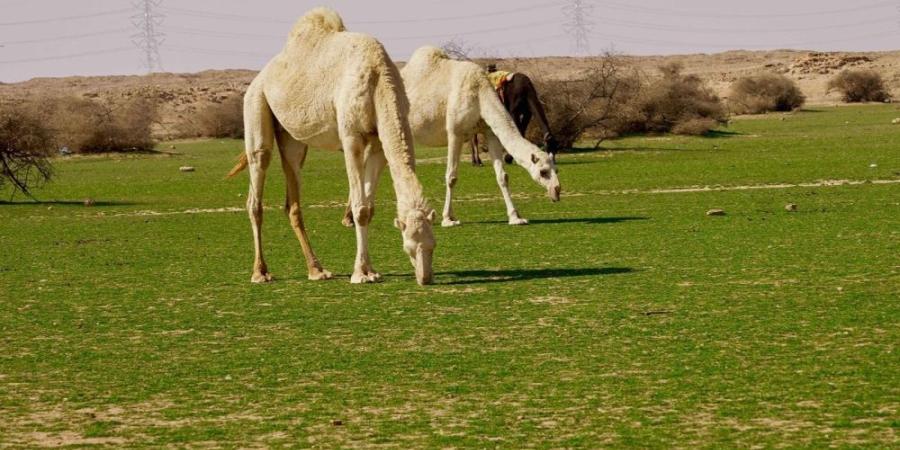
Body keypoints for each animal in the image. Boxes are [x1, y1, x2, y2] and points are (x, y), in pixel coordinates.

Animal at [227, 7, 434, 284]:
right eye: (409, 246)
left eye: (432, 245)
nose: (425, 277)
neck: (378, 78)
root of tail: (259, 78)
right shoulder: (351, 136)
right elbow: (360, 208)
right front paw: (361, 273)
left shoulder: (378, 142)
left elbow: (369, 208)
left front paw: (371, 270)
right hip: (255, 104)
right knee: (257, 181)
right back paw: (260, 272)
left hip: (293, 140)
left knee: (292, 199)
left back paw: (317, 270)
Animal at [344, 47, 564, 229]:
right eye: (543, 172)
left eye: (556, 169)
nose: (557, 191)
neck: (480, 92)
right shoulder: (455, 132)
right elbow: (451, 176)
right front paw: (448, 219)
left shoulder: (489, 132)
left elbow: (502, 176)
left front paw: (516, 217)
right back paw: (351, 218)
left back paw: (353, 216)